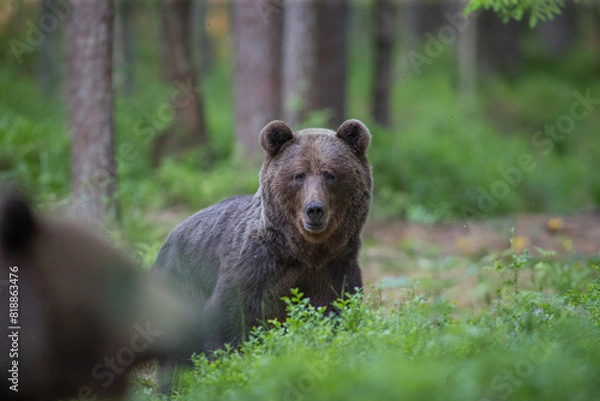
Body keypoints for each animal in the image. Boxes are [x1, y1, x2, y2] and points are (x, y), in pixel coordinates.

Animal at [151, 117, 370, 354]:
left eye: (330, 174)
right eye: (299, 175)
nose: (314, 209)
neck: (303, 251)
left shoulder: (336, 267)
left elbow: (336, 311)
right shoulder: (254, 267)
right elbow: (229, 319)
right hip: (179, 278)